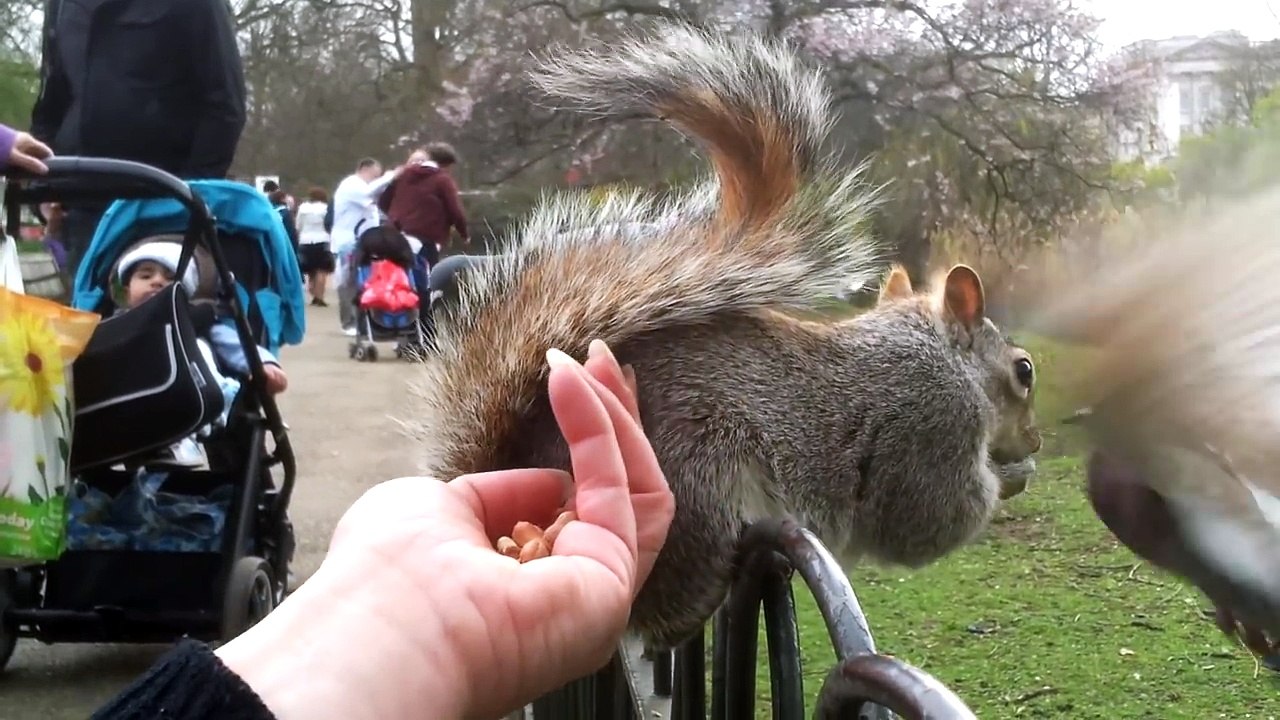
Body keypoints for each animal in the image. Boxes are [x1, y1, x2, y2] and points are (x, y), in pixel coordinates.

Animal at [411, 23, 1043, 650]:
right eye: (1024, 371)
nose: (1036, 442)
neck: (939, 353)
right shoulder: (931, 425)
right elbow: (930, 522)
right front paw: (1012, 477)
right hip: (702, 490)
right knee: (666, 617)